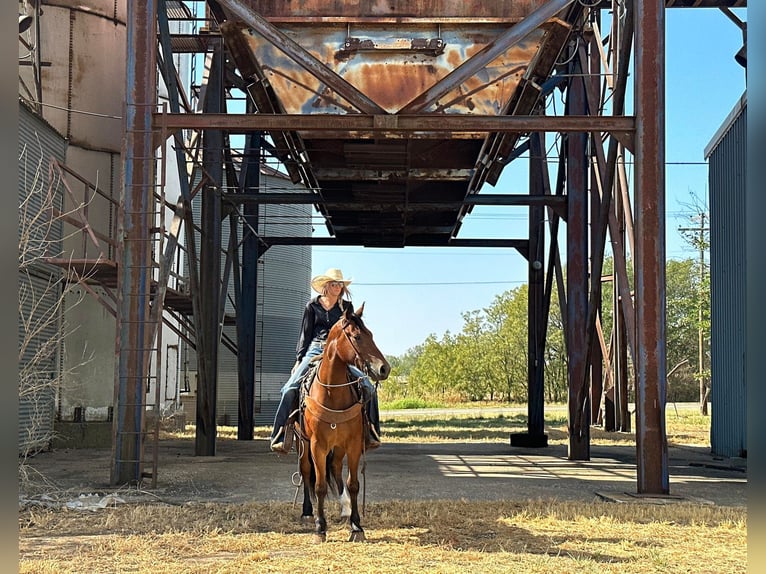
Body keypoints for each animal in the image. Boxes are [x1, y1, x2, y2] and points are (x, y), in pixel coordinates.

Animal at [294, 304, 390, 544]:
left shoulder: (353, 443)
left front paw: (356, 526)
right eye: (356, 336)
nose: (384, 369)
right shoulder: (317, 445)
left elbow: (353, 484)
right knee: (306, 473)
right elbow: (319, 486)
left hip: (337, 447)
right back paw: (307, 512)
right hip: (303, 444)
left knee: (336, 469)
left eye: (371, 334)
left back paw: (345, 507)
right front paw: (320, 529)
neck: (332, 393)